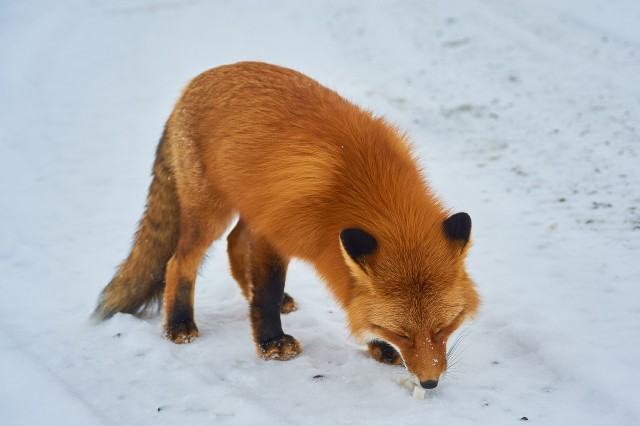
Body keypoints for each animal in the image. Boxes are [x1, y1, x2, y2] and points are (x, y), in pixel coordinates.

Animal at [92, 61, 480, 389]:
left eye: (444, 328)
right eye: (402, 334)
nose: (429, 382)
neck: (365, 188)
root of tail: (198, 80)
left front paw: (376, 345)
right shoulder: (273, 233)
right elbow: (266, 292)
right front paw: (271, 342)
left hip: (244, 207)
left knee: (233, 244)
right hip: (210, 214)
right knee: (179, 262)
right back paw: (179, 324)